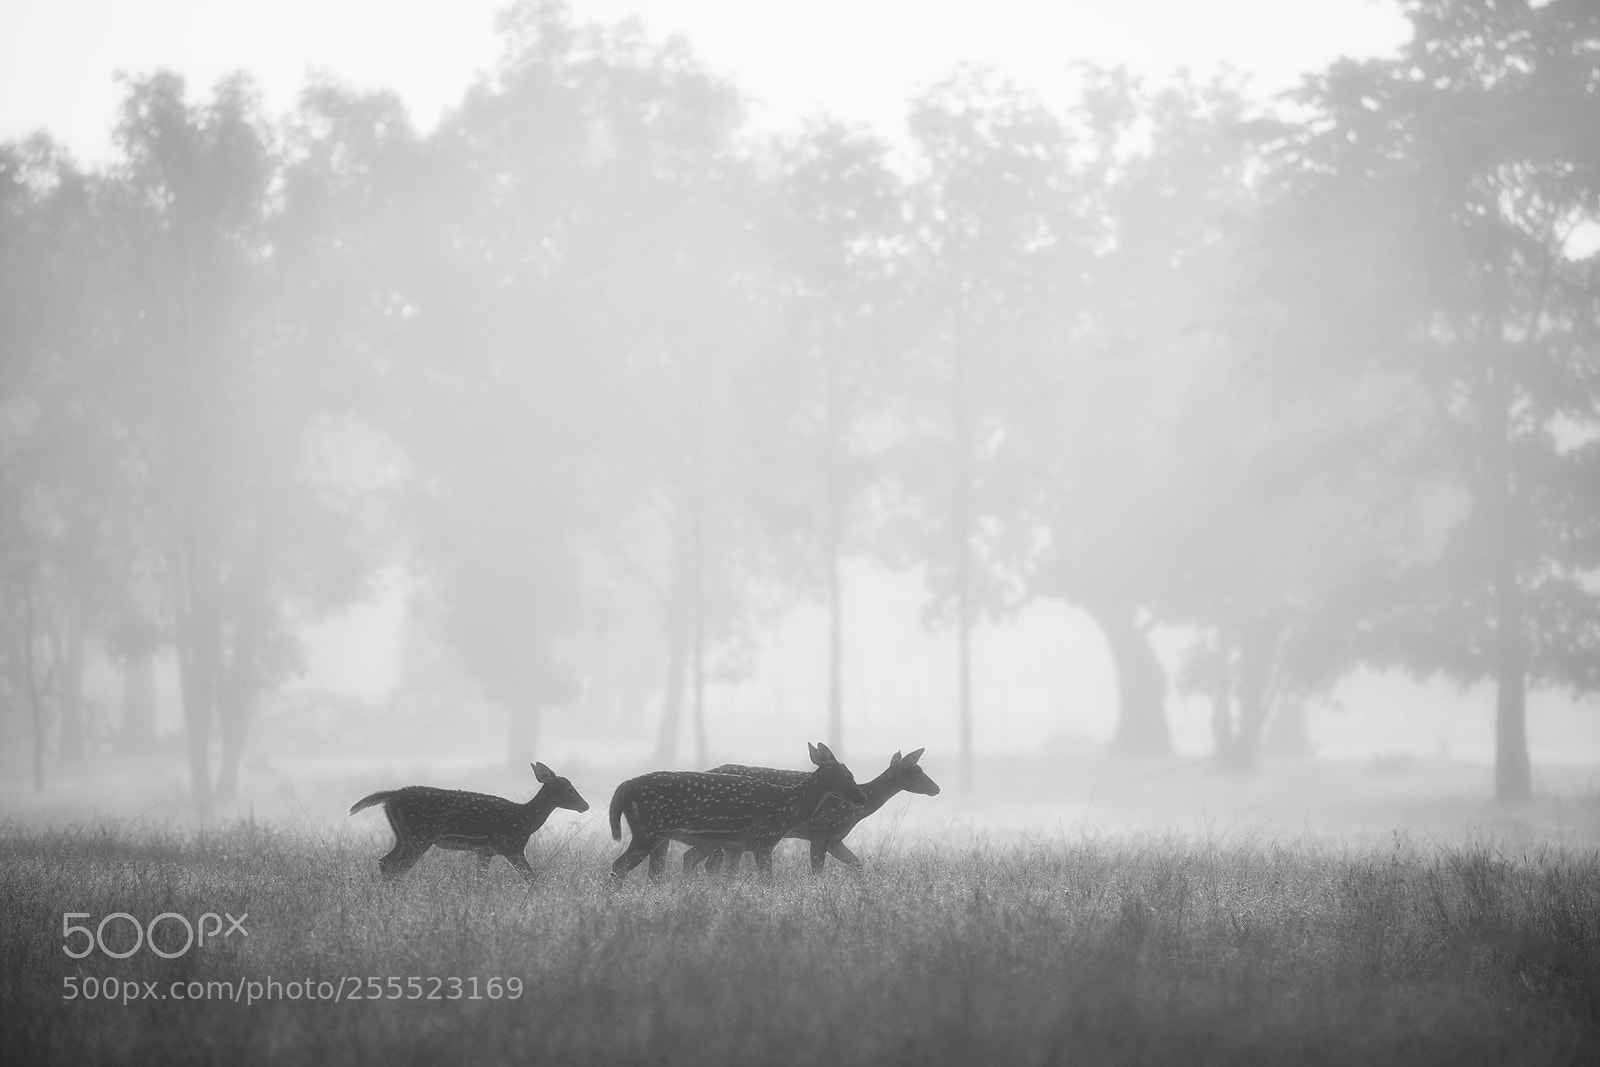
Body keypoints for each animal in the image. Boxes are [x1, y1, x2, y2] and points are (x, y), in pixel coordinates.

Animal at [349, 762, 589, 882]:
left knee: (385, 862)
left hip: (405, 836)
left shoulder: (485, 850)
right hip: (419, 835)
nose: (585, 805)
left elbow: (479, 880)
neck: (526, 820)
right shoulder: (512, 846)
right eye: (569, 789)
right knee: (393, 866)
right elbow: (532, 878)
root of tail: (391, 796)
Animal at [608, 741, 867, 881]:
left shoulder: (736, 845)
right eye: (848, 775)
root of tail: (622, 788)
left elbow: (729, 880)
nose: (862, 798)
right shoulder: (763, 840)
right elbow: (767, 882)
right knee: (618, 866)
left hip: (659, 835)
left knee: (651, 873)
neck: (787, 807)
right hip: (648, 828)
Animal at [682, 748, 938, 875]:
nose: (936, 788)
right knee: (702, 862)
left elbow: (857, 864)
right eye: (917, 771)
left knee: (694, 858)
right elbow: (817, 872)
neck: (853, 813)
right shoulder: (820, 831)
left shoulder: (835, 839)